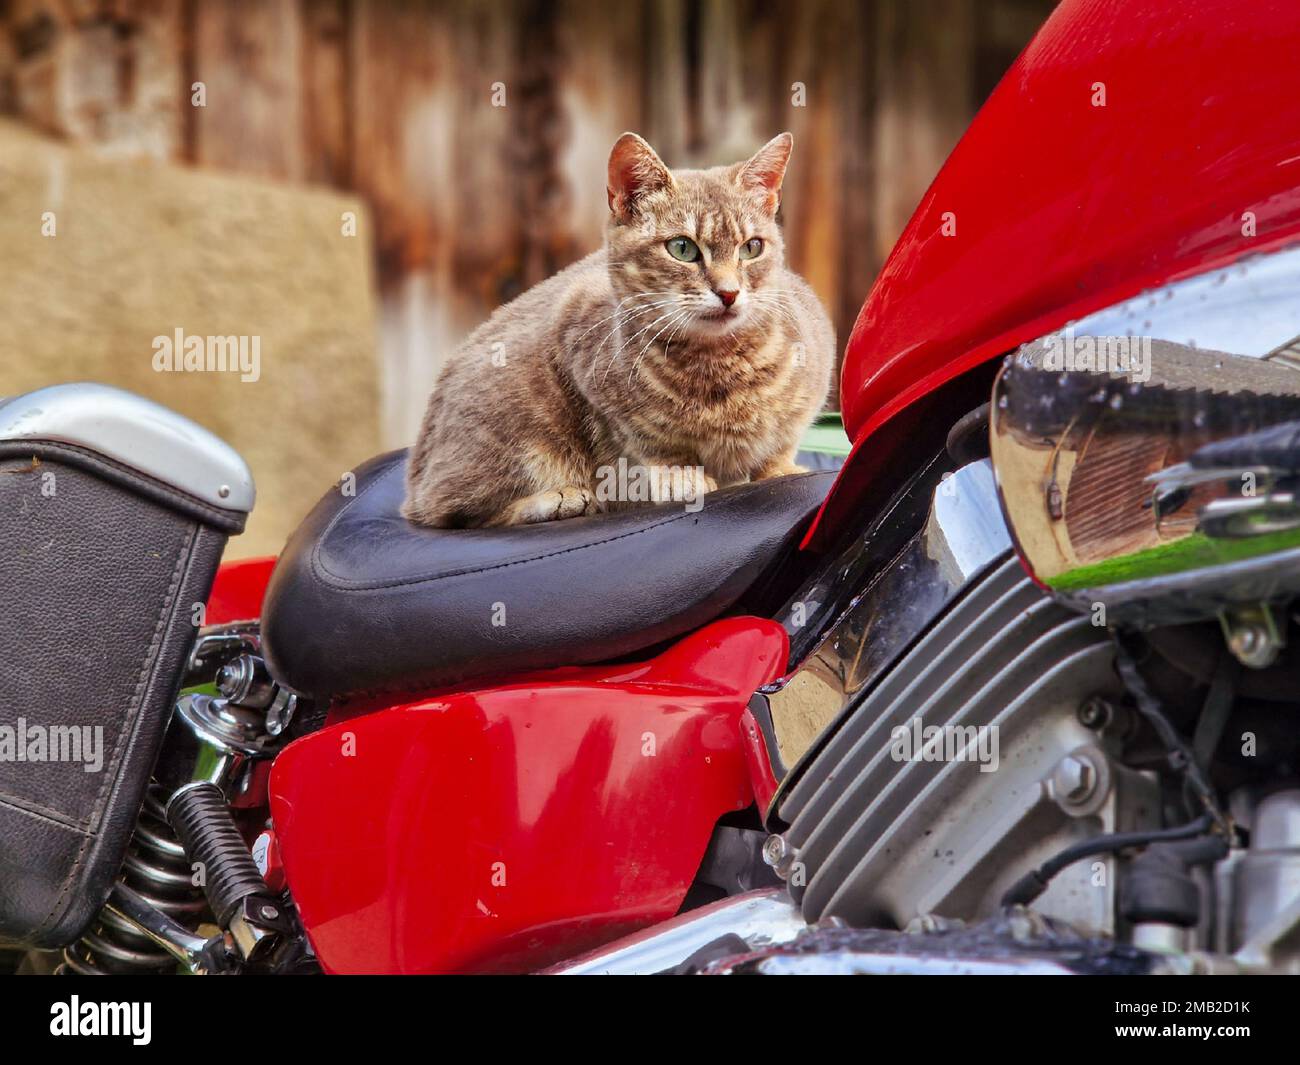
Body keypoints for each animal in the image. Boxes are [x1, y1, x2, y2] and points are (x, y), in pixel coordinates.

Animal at [400, 133, 837, 527]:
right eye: (682, 248)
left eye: (752, 248)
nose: (729, 292)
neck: (717, 369)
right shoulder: (581, 348)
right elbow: (651, 441)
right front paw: (678, 474)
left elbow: (779, 445)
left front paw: (781, 470)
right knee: (454, 513)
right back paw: (560, 498)